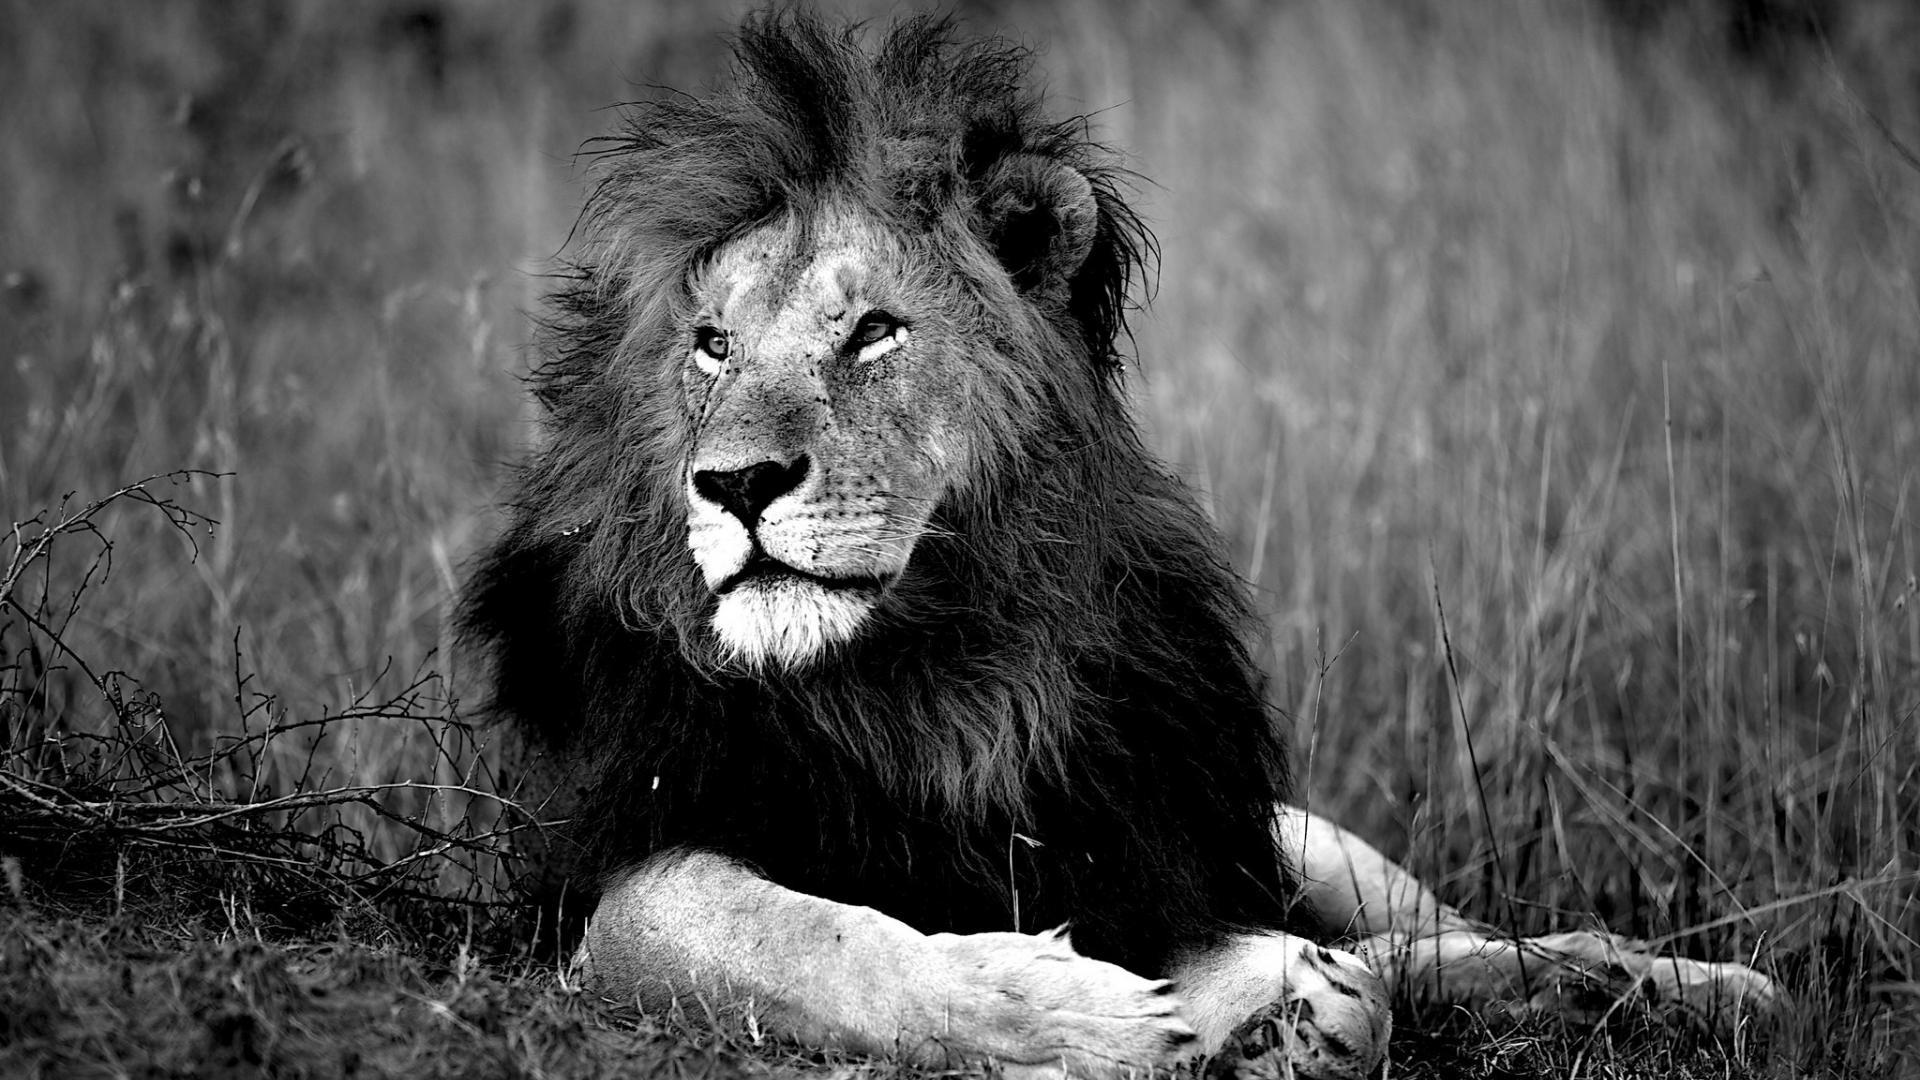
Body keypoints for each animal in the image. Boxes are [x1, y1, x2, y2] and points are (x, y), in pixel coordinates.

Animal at [460, 12, 1780, 1078]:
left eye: (876, 333)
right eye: (713, 346)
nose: (734, 483)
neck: (931, 674)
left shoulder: (1153, 849)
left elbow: (1335, 978)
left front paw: (1278, 1013)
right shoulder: (613, 880)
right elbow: (812, 941)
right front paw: (1070, 1011)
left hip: (1298, 832)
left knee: (1420, 936)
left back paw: (1667, 982)